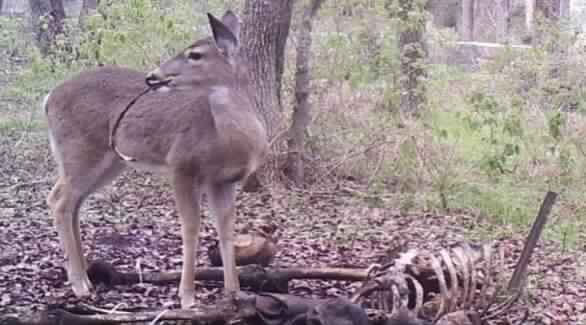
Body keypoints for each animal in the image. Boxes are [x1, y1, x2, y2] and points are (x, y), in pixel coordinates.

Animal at [42, 10, 266, 308]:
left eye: (195, 54)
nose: (153, 76)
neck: (228, 139)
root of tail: (48, 98)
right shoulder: (181, 164)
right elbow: (191, 227)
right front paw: (187, 297)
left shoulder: (224, 180)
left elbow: (226, 228)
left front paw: (234, 292)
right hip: (80, 149)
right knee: (59, 200)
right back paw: (79, 285)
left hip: (108, 161)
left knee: (73, 202)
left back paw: (87, 278)